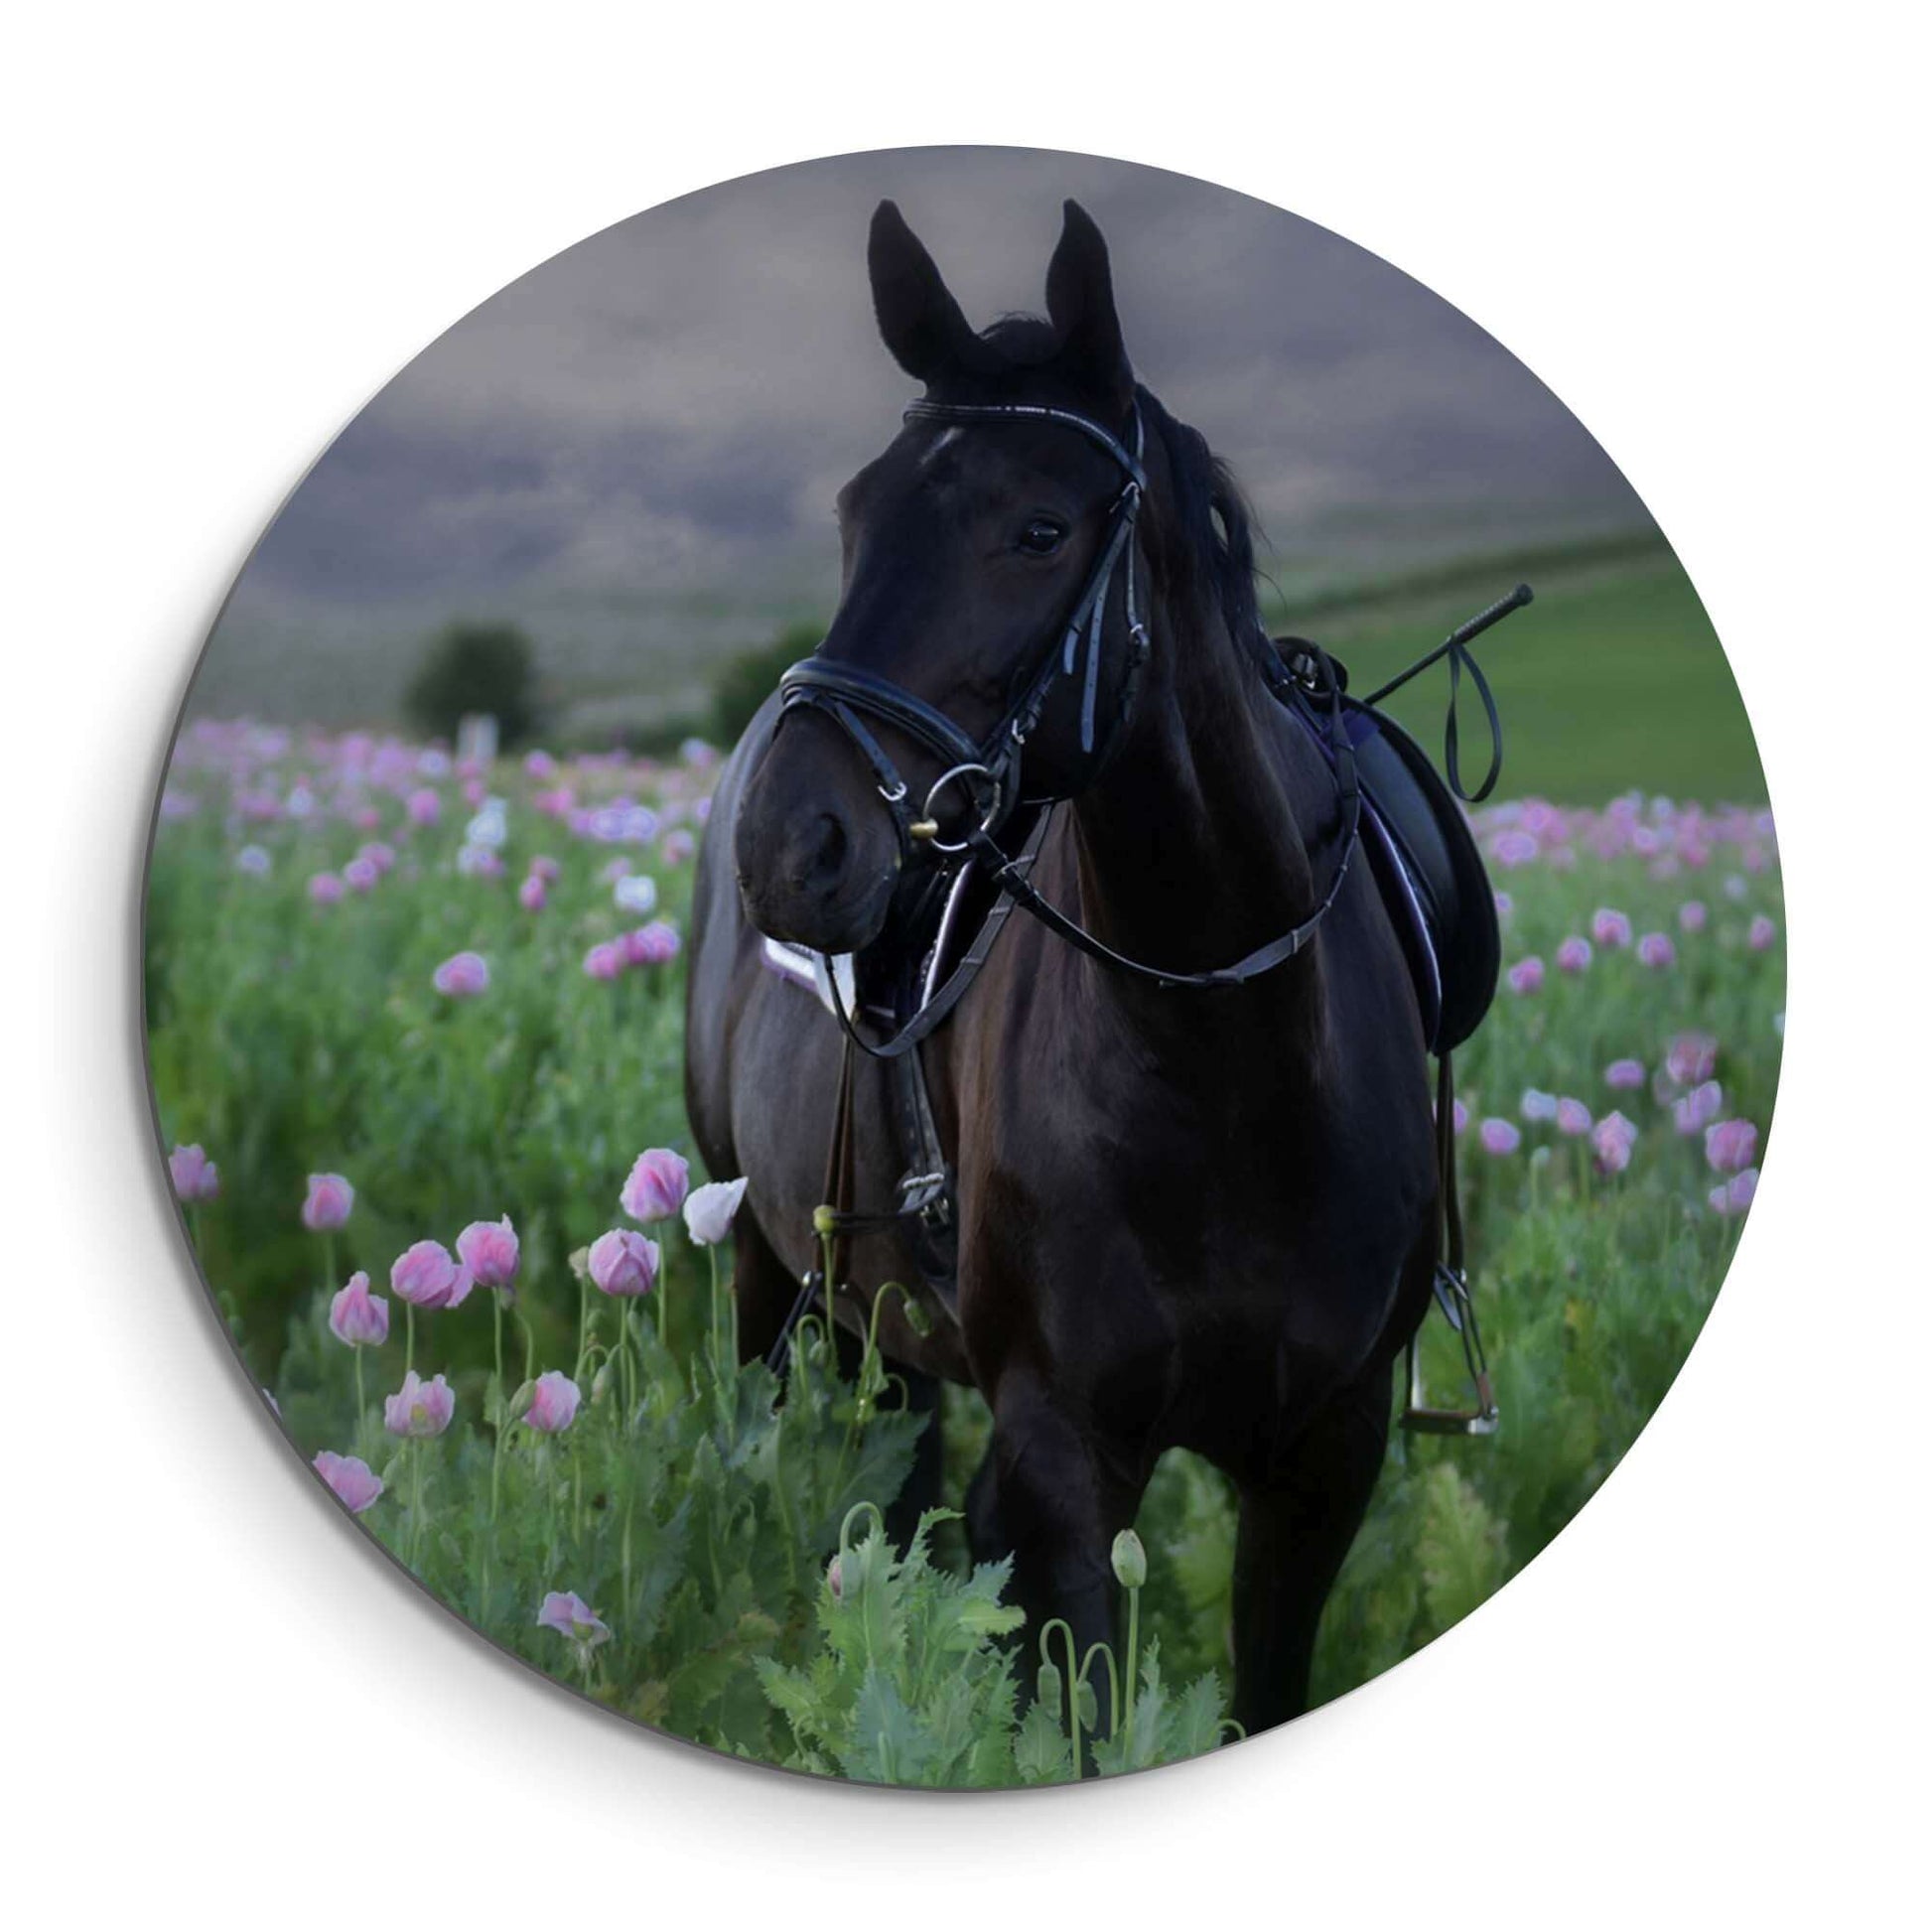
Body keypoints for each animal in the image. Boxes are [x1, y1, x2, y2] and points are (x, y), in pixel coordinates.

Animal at [685, 198, 1438, 1736]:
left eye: (1037, 529)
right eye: (853, 516)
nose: (787, 844)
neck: (1228, 1055)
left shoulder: (1322, 1457)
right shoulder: (1063, 1453)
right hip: (772, 1279)